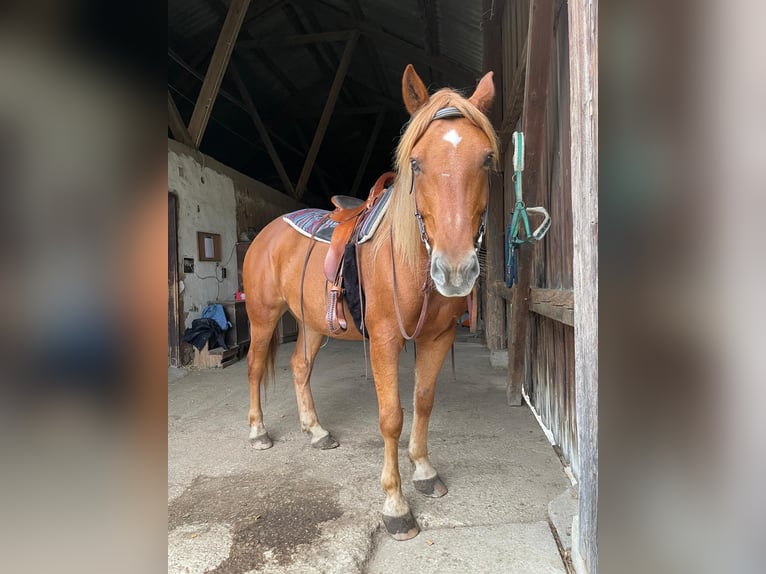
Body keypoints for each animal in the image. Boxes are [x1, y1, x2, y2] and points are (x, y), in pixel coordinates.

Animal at [243, 65, 500, 544]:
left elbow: (423, 401)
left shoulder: (438, 337)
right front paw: (396, 505)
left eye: (487, 159)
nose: (456, 270)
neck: (411, 257)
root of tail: (266, 233)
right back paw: (257, 432)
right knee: (253, 367)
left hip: (313, 323)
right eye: (416, 163)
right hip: (263, 317)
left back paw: (316, 431)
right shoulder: (383, 341)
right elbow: (391, 417)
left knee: (299, 366)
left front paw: (424, 471)